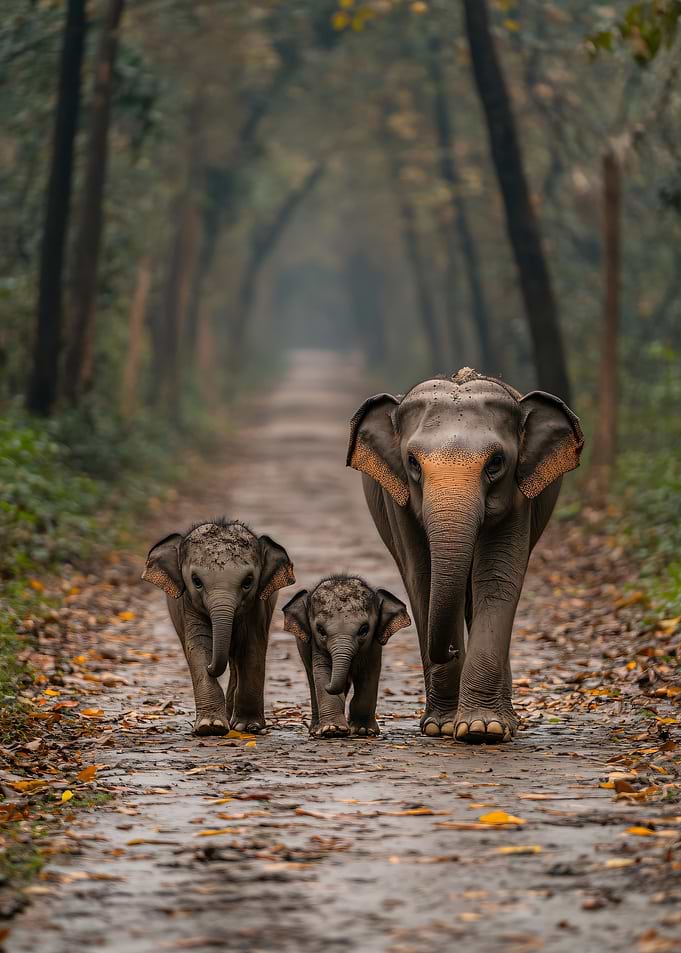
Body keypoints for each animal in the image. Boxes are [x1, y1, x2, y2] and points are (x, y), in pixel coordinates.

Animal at [142, 518, 295, 736]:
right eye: (196, 581)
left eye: (248, 582)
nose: (211, 667)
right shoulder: (188, 605)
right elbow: (198, 647)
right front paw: (210, 726)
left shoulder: (257, 607)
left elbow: (251, 649)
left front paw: (249, 727)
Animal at [282, 575, 411, 738]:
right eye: (320, 630)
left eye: (364, 629)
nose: (329, 685)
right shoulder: (316, 646)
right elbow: (322, 671)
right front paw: (333, 730)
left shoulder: (373, 647)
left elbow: (369, 675)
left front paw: (364, 731)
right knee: (312, 680)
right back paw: (316, 730)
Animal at [346, 367, 584, 744]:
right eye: (412, 462)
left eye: (497, 462)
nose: (453, 649)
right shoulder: (398, 501)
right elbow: (423, 579)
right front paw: (441, 726)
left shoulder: (519, 498)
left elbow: (497, 578)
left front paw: (482, 729)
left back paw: (507, 719)